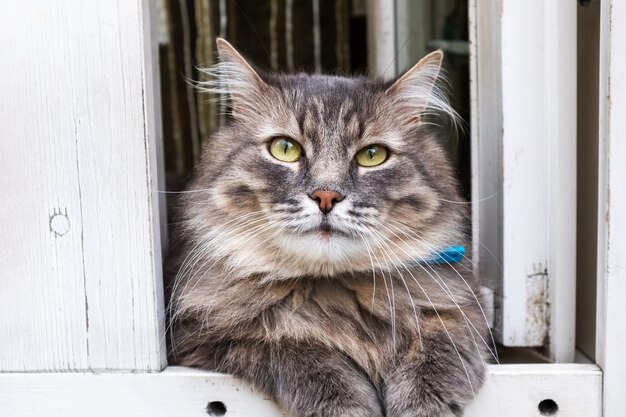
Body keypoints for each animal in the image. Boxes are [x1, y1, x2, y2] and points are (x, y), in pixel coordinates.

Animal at [168, 38, 490, 416]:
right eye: (285, 149)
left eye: (372, 155)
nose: (326, 196)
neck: (333, 293)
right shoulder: (209, 337)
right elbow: (306, 353)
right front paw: (350, 407)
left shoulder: (459, 314)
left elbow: (434, 362)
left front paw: (420, 406)